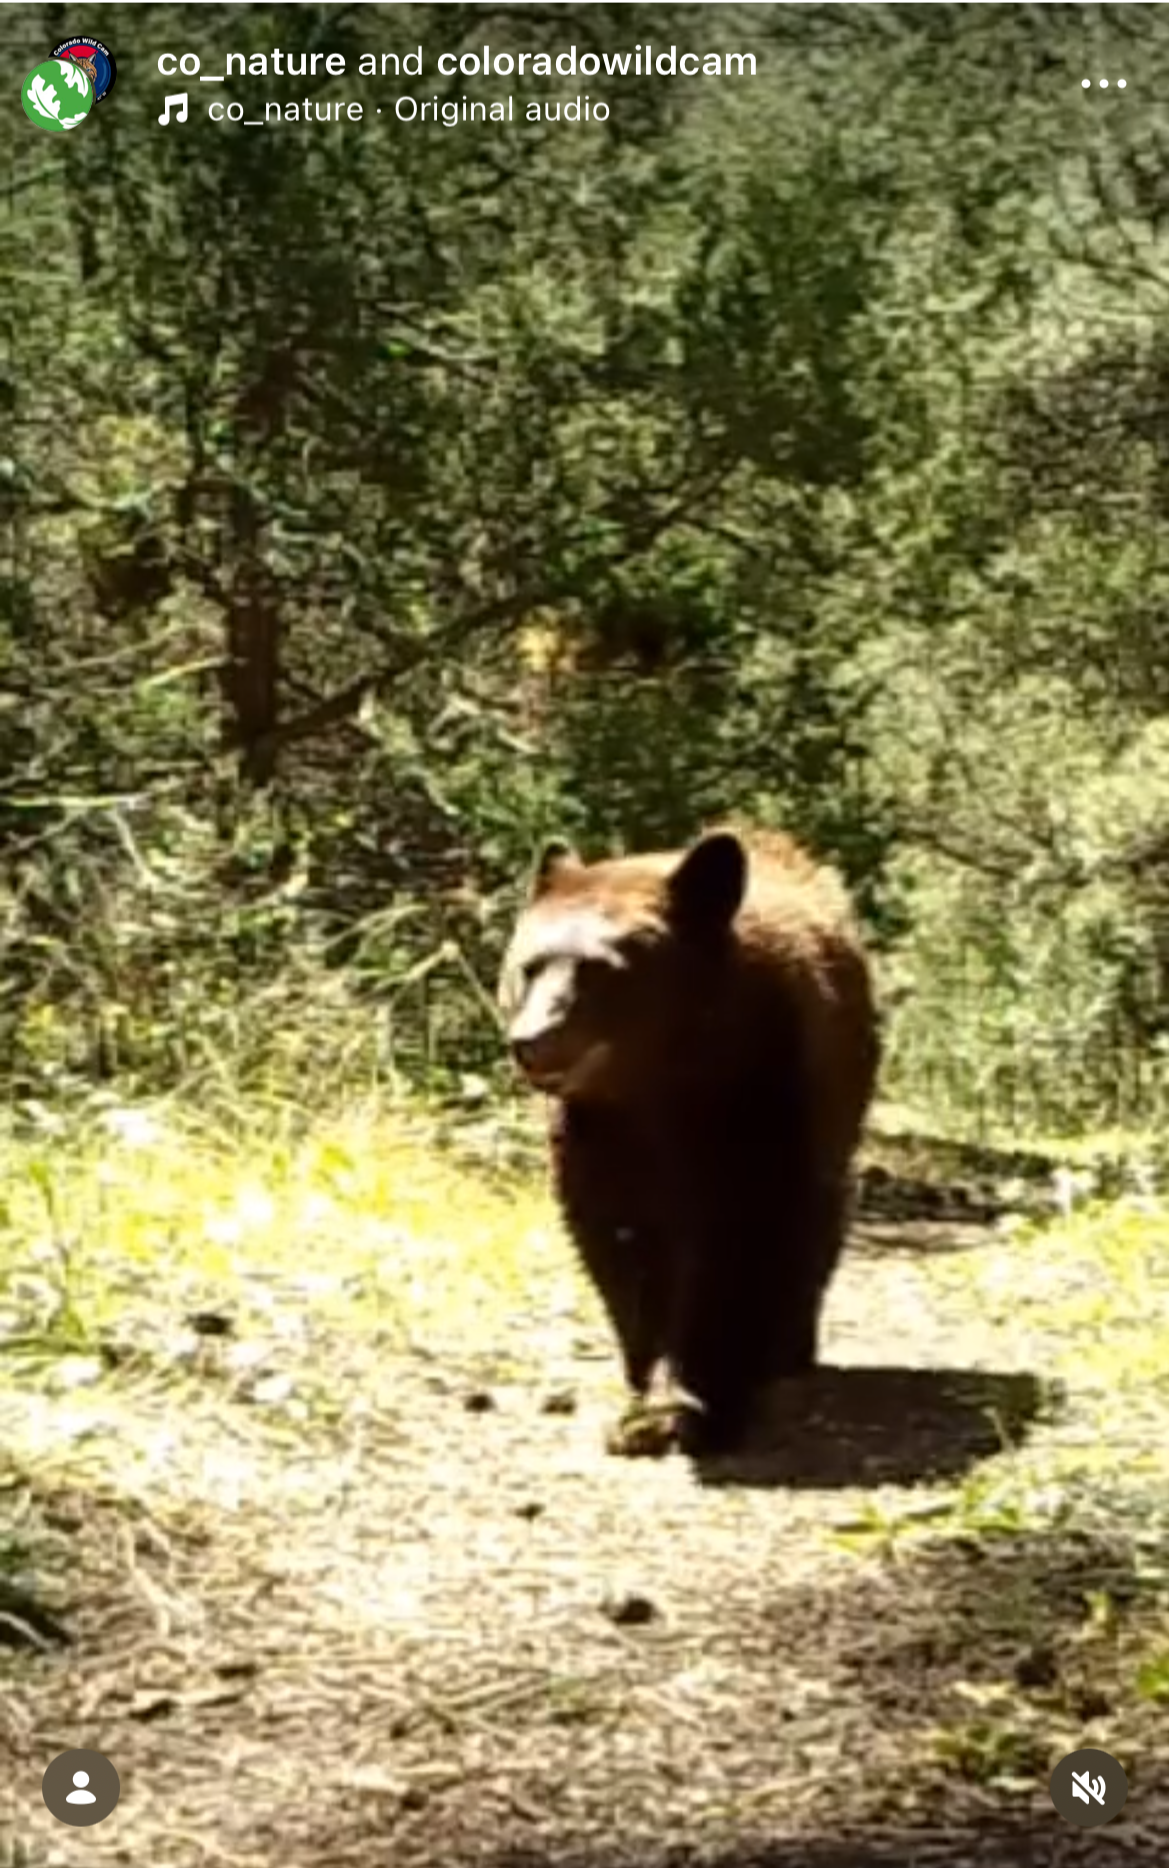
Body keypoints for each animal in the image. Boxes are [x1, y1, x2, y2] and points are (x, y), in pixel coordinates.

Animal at [497, 825, 881, 1457]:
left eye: (600, 968)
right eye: (529, 965)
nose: (531, 1040)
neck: (660, 1085)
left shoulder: (756, 1106)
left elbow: (737, 1248)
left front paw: (706, 1400)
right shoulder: (595, 1137)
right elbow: (622, 1252)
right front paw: (644, 1401)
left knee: (817, 1223)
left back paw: (788, 1351)